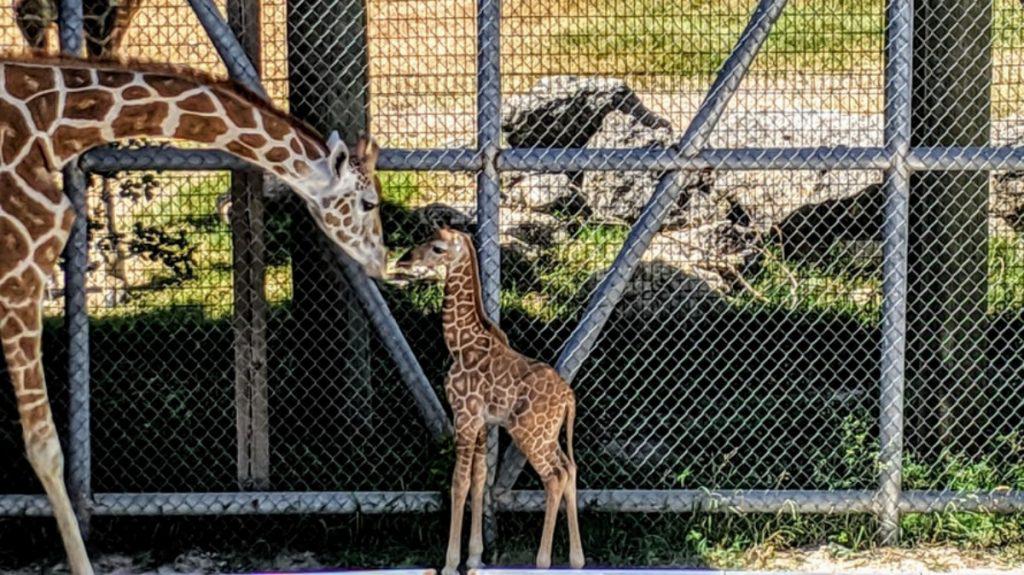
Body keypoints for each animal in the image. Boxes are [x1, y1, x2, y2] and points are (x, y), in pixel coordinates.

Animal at [397, 228, 585, 572]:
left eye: (437, 248)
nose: (404, 260)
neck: (459, 343)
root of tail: (569, 397)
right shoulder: (484, 422)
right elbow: (479, 478)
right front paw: (474, 556)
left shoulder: (464, 416)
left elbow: (458, 482)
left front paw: (450, 563)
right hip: (549, 435)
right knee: (570, 468)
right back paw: (576, 560)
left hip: (529, 435)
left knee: (554, 477)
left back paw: (542, 560)